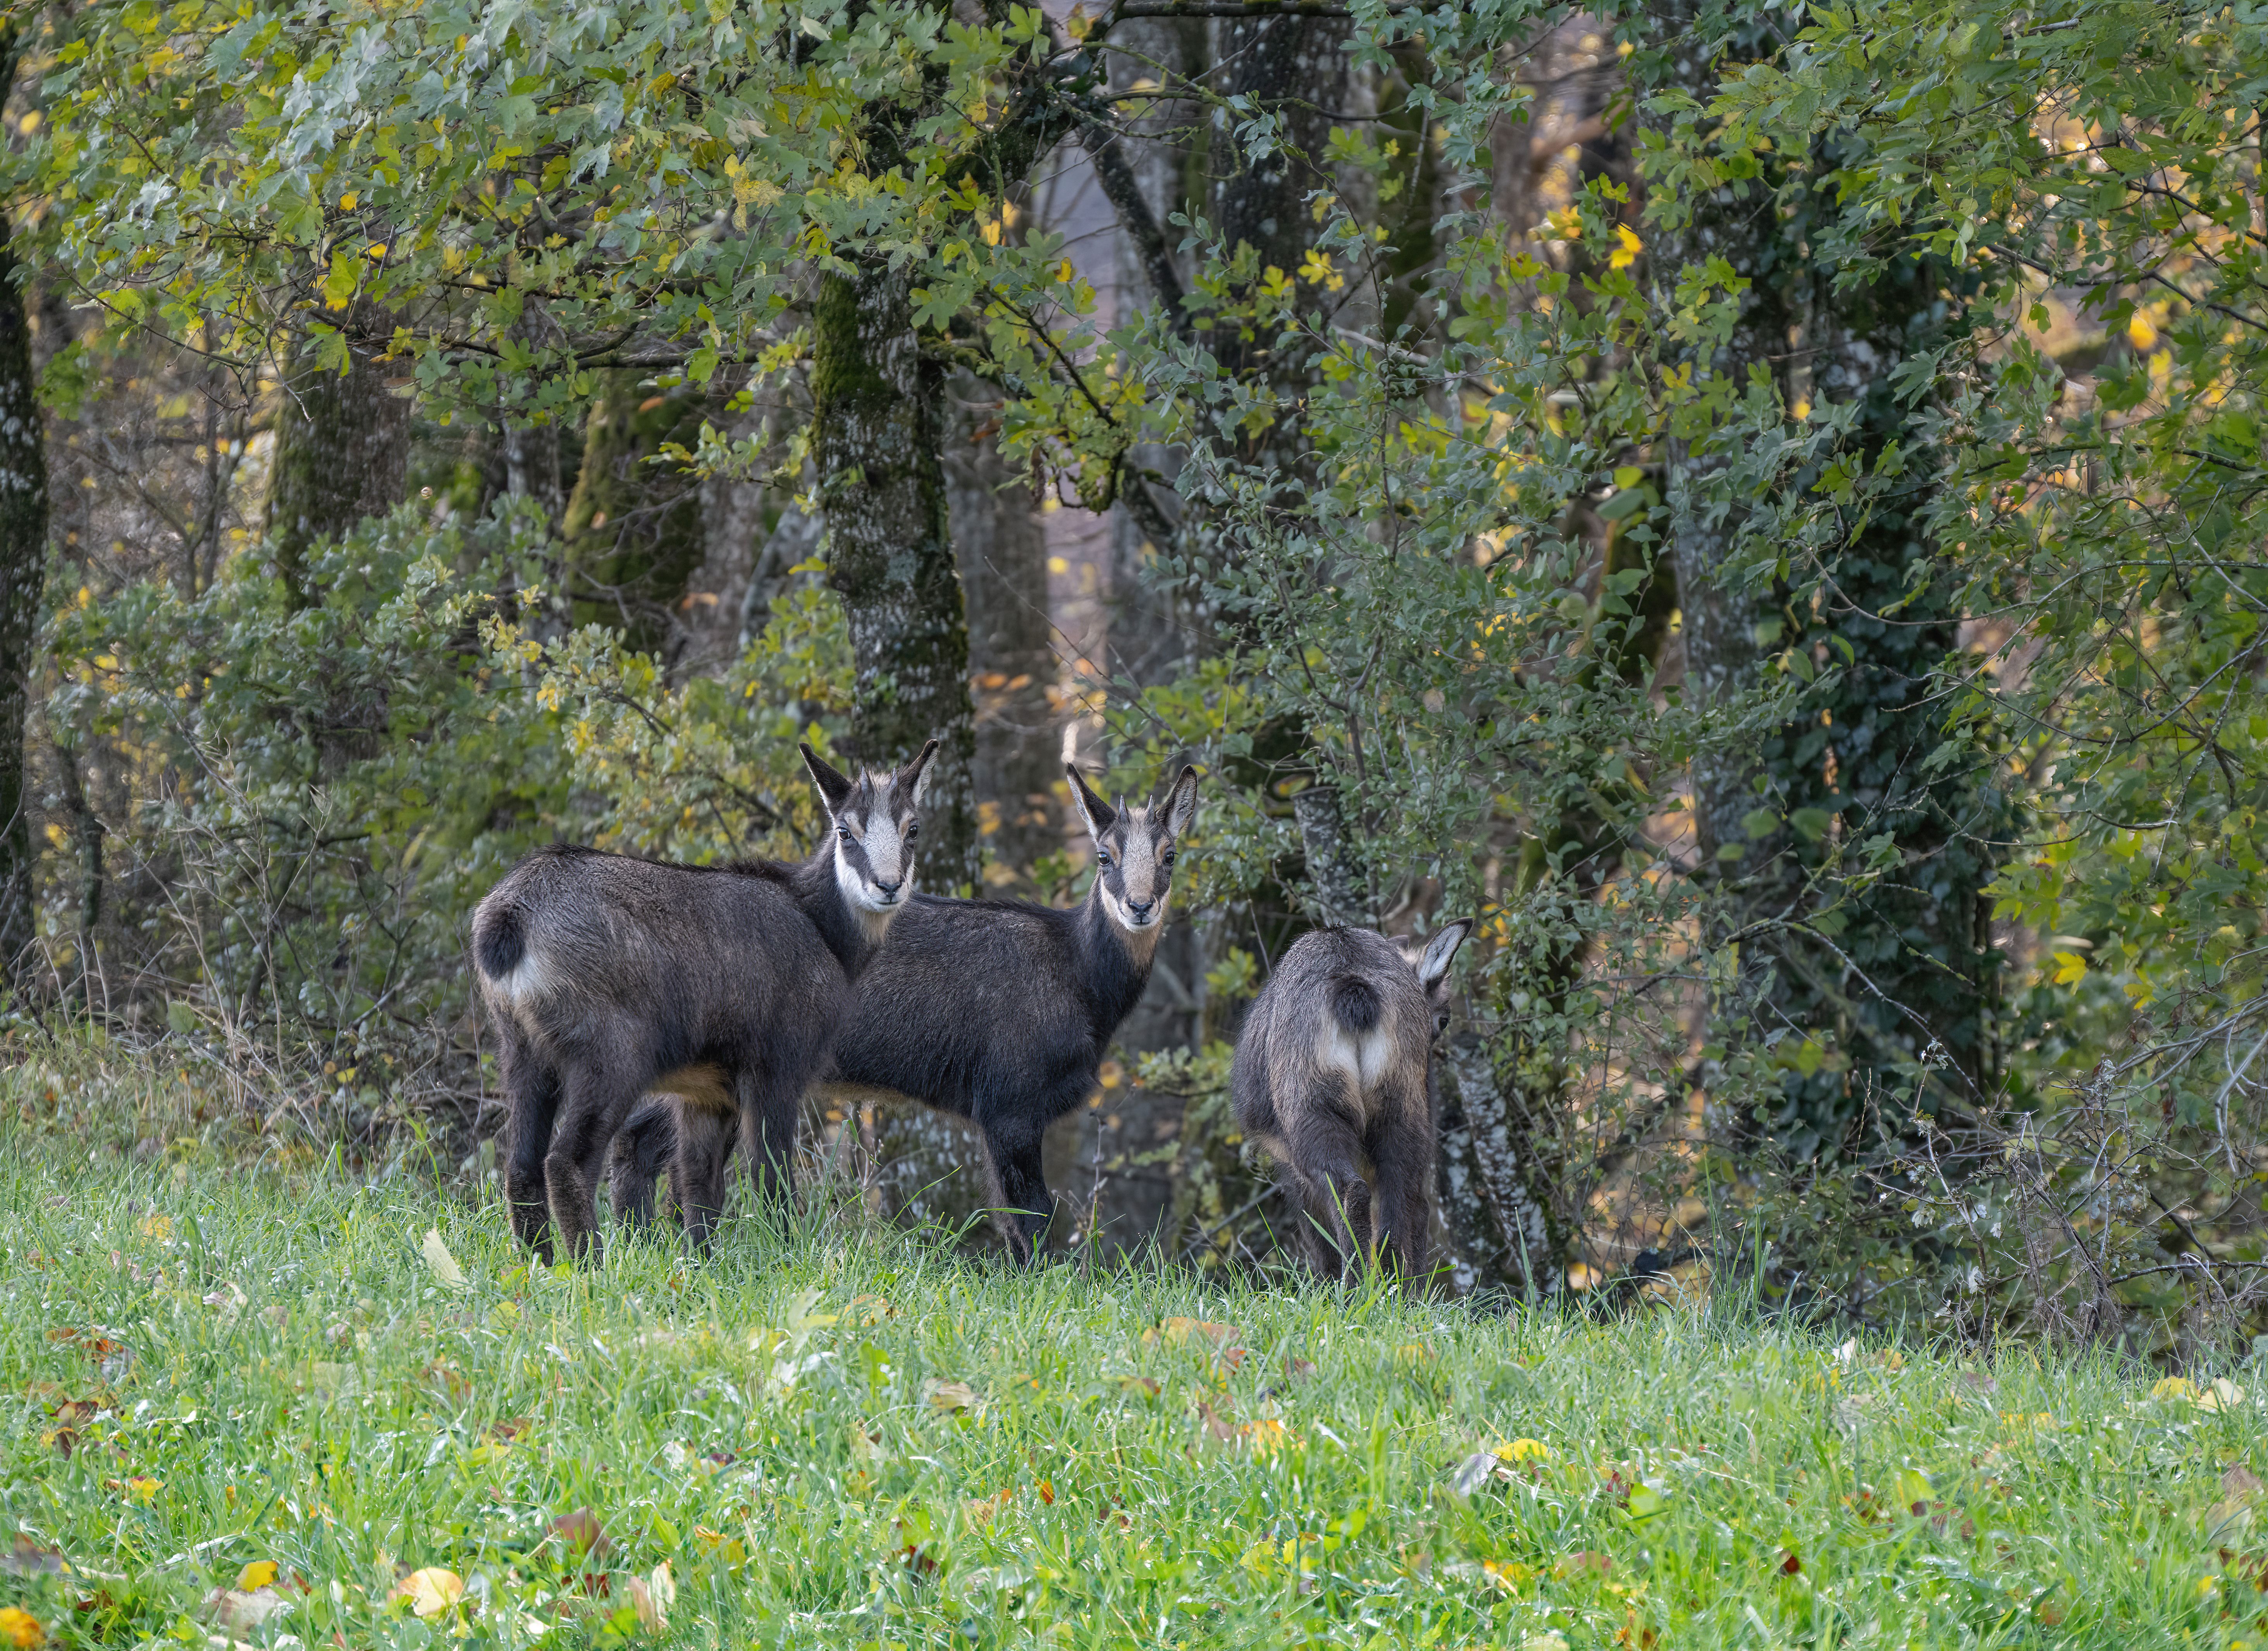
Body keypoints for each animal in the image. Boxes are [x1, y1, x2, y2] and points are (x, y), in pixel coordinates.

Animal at [471, 739, 937, 1264]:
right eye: (845, 830)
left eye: (912, 828)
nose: (888, 886)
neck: (822, 929)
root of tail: (510, 915)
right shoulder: (778, 1069)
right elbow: (770, 1179)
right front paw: (782, 1259)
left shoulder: (706, 1092)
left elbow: (699, 1186)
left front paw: (702, 1264)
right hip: (612, 1058)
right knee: (566, 1160)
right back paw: (589, 1264)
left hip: (522, 1052)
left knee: (521, 1165)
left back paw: (543, 1264)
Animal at [610, 761, 1201, 1263]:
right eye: (1104, 856)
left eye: (1170, 855)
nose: (1140, 906)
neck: (1080, 975)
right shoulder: (1010, 1102)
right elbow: (1028, 1215)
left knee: (640, 1140)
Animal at [1231, 917, 1471, 1281]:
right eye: (1444, 1018)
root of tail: (1353, 988)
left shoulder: (1288, 1166)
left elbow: (1315, 1231)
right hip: (1402, 1108)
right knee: (1405, 1206)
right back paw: (1398, 1287)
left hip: (1313, 1108)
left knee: (1351, 1192)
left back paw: (1350, 1284)